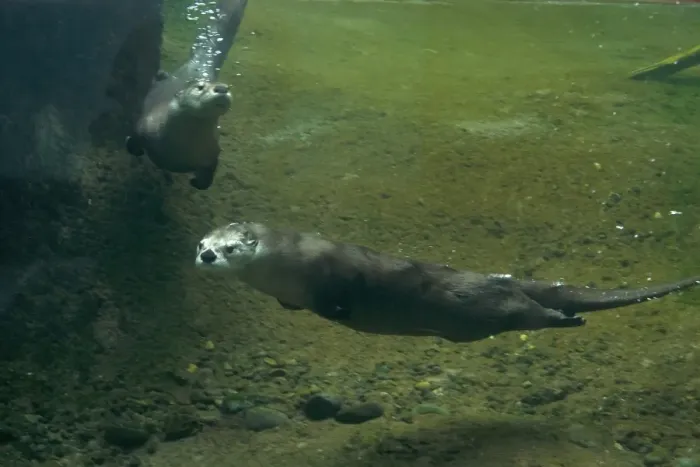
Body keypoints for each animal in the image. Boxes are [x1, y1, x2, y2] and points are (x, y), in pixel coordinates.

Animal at [125, 0, 249, 190]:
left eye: (228, 87)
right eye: (200, 87)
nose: (221, 88)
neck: (179, 148)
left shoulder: (212, 152)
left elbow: (210, 172)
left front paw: (197, 182)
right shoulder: (147, 124)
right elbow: (135, 136)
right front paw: (134, 148)